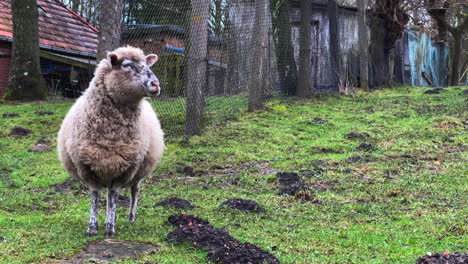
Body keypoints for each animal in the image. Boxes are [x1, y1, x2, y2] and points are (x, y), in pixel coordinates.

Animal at [57, 46, 165, 237]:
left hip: (138, 171)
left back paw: (131, 217)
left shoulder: (126, 169)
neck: (111, 135)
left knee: (134, 191)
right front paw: (93, 227)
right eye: (127, 65)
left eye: (146, 64)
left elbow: (114, 197)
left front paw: (109, 227)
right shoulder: (87, 167)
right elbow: (95, 196)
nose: (155, 85)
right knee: (107, 194)